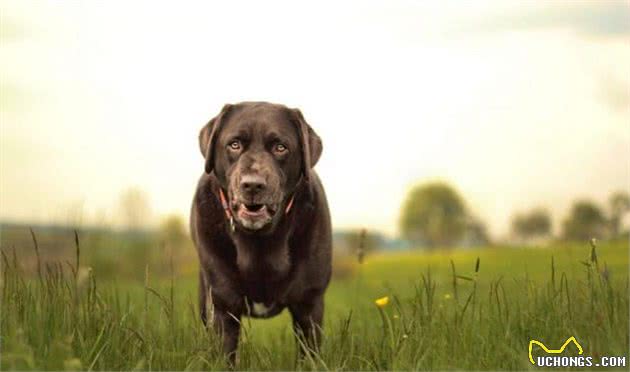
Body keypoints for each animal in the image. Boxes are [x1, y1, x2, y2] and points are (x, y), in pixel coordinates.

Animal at [190, 101, 334, 364]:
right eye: (234, 144)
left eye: (280, 147)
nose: (253, 185)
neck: (260, 241)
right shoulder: (223, 305)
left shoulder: (309, 303)